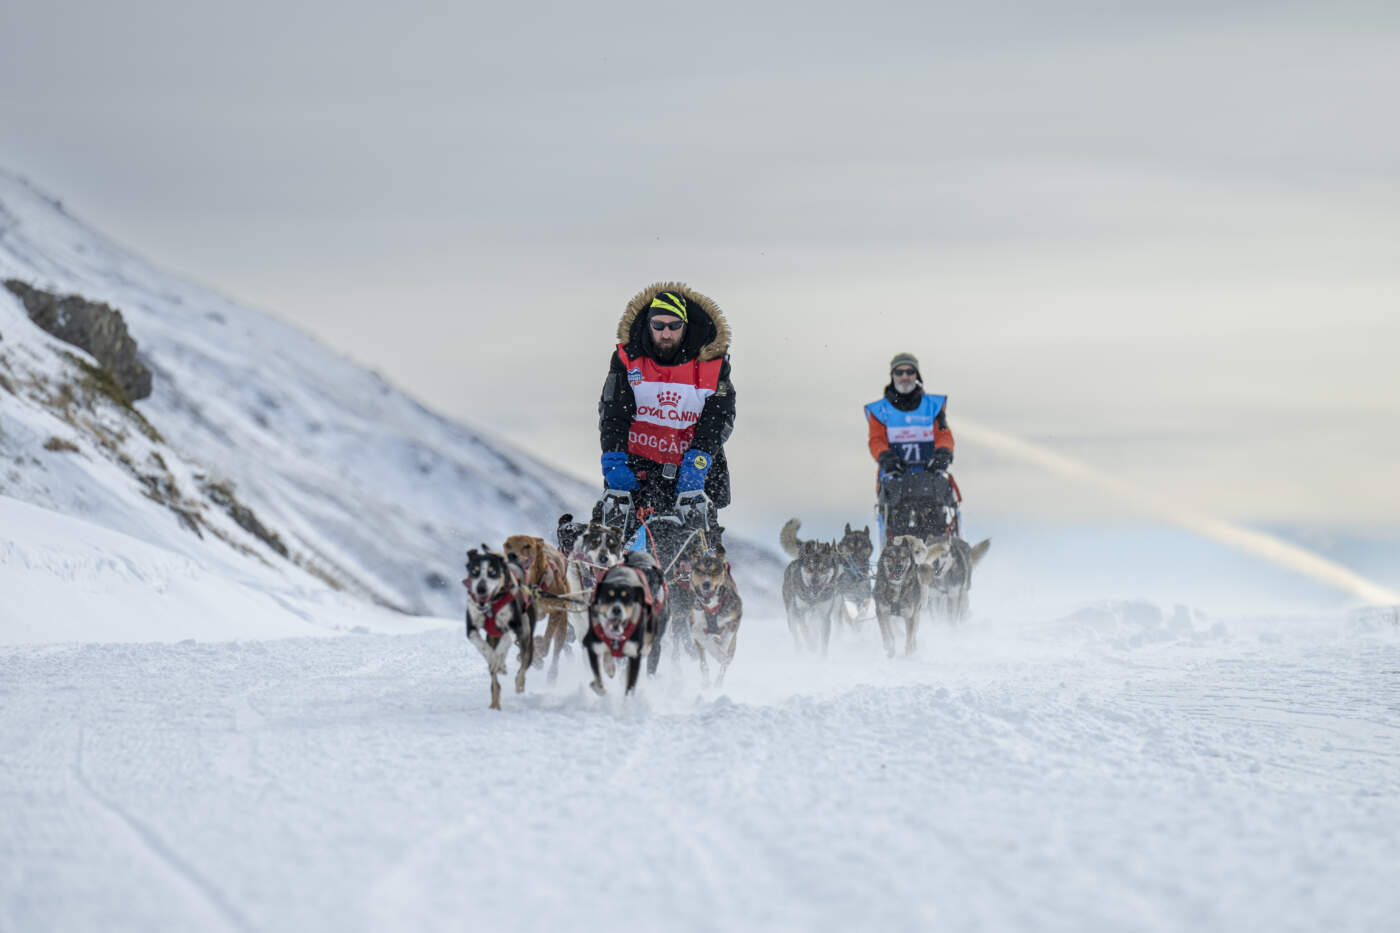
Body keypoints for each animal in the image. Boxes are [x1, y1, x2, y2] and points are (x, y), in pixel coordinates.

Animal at [464, 540, 540, 708]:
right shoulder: (471, 628)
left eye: (492, 572)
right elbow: (482, 646)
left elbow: (505, 641)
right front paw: (494, 660)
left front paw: (498, 661)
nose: (481, 588)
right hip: (493, 636)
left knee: (522, 669)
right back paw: (495, 704)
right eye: (474, 571)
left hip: (527, 637)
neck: (492, 605)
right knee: (495, 684)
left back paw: (518, 686)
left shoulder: (516, 627)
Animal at [501, 535, 571, 680]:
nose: (511, 555)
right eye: (508, 545)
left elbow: (546, 641)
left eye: (527, 546)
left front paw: (539, 652)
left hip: (562, 623)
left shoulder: (556, 611)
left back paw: (552, 673)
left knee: (557, 648)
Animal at [688, 546, 744, 683]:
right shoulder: (695, 623)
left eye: (716, 571)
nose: (706, 584)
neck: (711, 608)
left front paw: (721, 653)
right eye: (699, 570)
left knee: (724, 664)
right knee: (704, 664)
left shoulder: (735, 617)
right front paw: (715, 650)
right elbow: (703, 638)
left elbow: (726, 640)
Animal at [784, 515, 834, 652]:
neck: (813, 599)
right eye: (810, 568)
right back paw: (800, 650)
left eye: (822, 569)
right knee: (797, 636)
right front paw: (811, 647)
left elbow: (823, 644)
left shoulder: (824, 617)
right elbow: (806, 633)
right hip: (791, 614)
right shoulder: (800, 613)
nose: (814, 581)